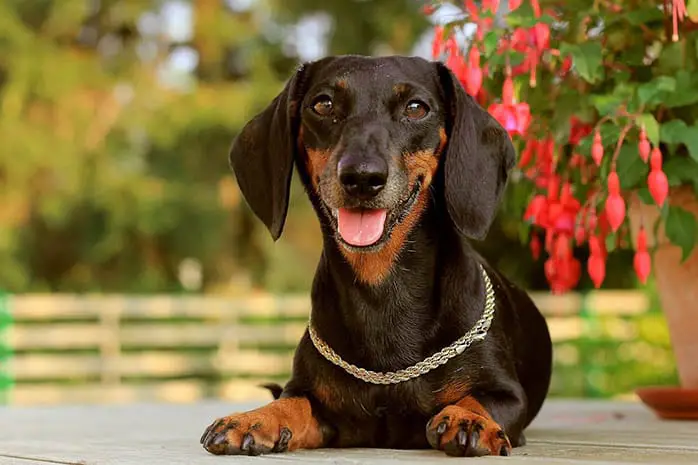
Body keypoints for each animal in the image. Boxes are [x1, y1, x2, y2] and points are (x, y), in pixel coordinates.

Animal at [197, 54, 548, 456]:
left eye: (416, 107)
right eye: (323, 104)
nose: (362, 177)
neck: (381, 291)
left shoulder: (509, 395)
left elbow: (481, 398)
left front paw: (468, 417)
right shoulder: (321, 407)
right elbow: (293, 401)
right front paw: (256, 418)